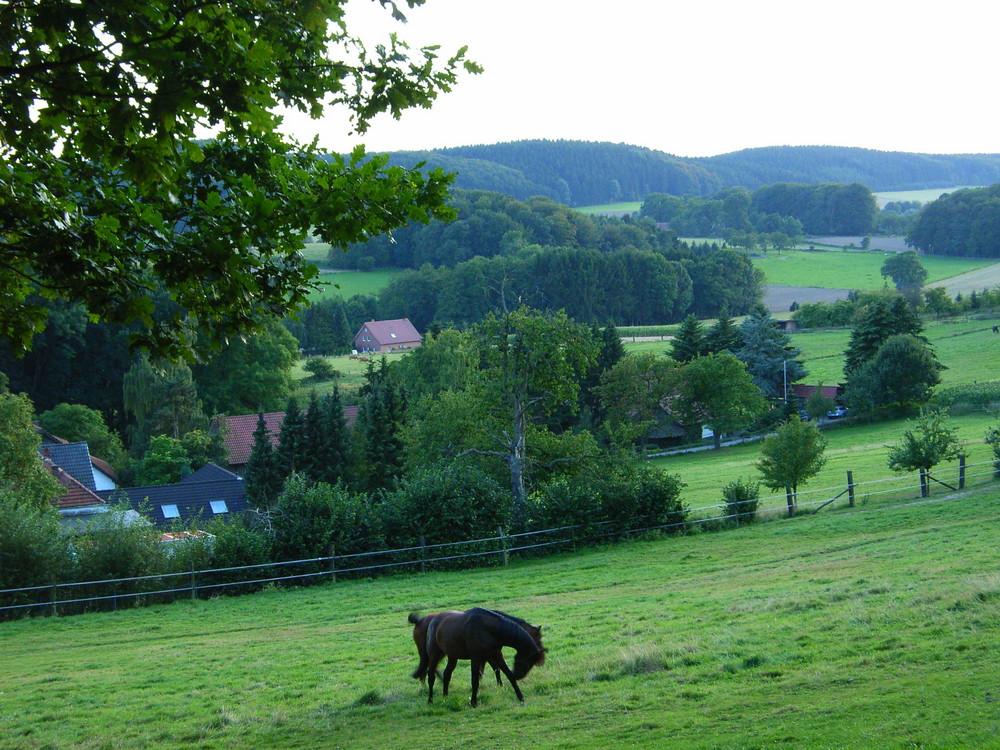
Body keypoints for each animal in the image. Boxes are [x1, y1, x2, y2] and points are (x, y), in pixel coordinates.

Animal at [406, 608, 548, 708]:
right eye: (528, 663)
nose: (541, 659)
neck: (490, 629)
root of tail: (431, 620)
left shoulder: (495, 654)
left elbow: (506, 673)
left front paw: (521, 697)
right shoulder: (477, 657)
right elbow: (475, 679)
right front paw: (474, 702)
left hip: (452, 656)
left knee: (446, 675)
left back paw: (445, 696)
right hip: (434, 655)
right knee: (430, 675)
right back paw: (430, 699)